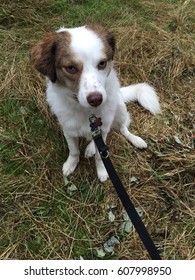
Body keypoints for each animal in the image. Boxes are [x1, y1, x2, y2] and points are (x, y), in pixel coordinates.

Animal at [30, 23, 161, 182]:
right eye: (71, 68)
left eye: (102, 63)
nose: (96, 99)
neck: (87, 112)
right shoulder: (68, 130)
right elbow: (74, 151)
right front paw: (71, 164)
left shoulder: (103, 129)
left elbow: (100, 155)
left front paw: (102, 170)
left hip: (120, 110)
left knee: (124, 129)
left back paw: (134, 140)